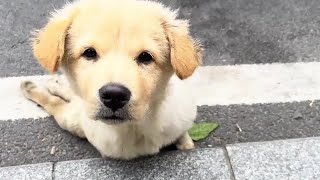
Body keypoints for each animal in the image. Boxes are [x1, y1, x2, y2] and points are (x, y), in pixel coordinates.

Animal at [20, 0, 202, 160]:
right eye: (89, 53)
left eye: (146, 57)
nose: (114, 95)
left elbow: (185, 138)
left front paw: (185, 143)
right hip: (72, 121)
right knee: (55, 104)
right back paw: (31, 87)